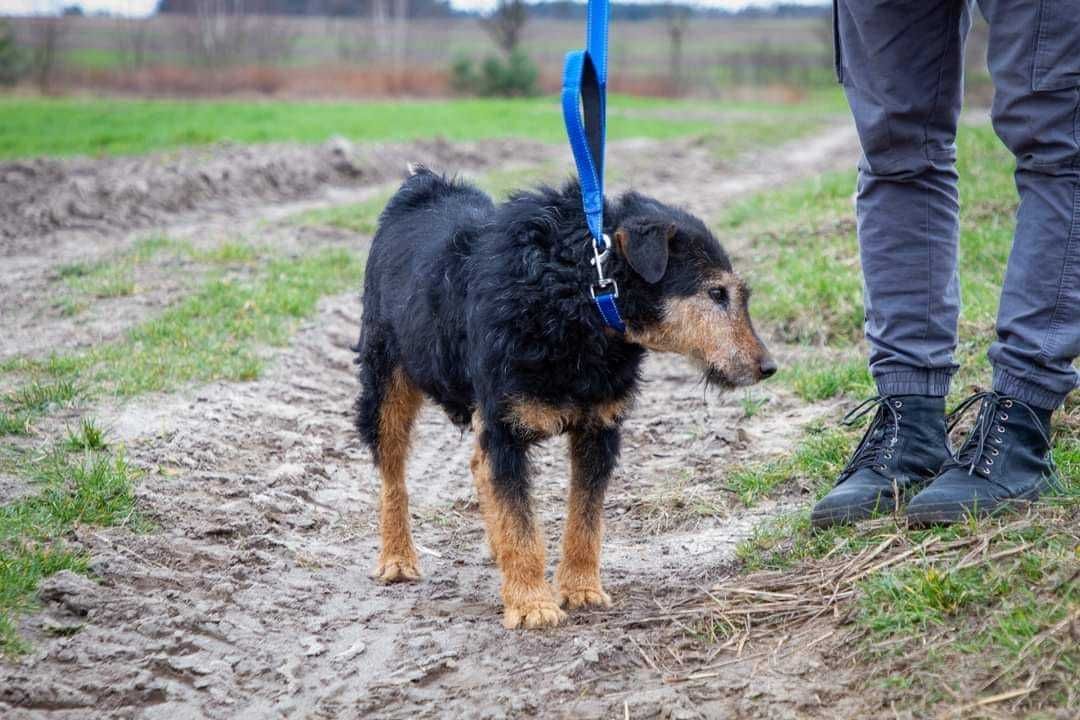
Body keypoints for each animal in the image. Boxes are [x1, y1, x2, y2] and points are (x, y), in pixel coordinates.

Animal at [356, 166, 777, 626]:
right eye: (716, 293)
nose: (768, 367)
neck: (582, 294)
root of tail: (422, 185)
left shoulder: (599, 428)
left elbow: (585, 517)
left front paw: (580, 588)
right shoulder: (505, 426)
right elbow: (520, 521)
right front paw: (531, 604)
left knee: (476, 466)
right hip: (385, 385)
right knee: (392, 477)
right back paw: (397, 558)